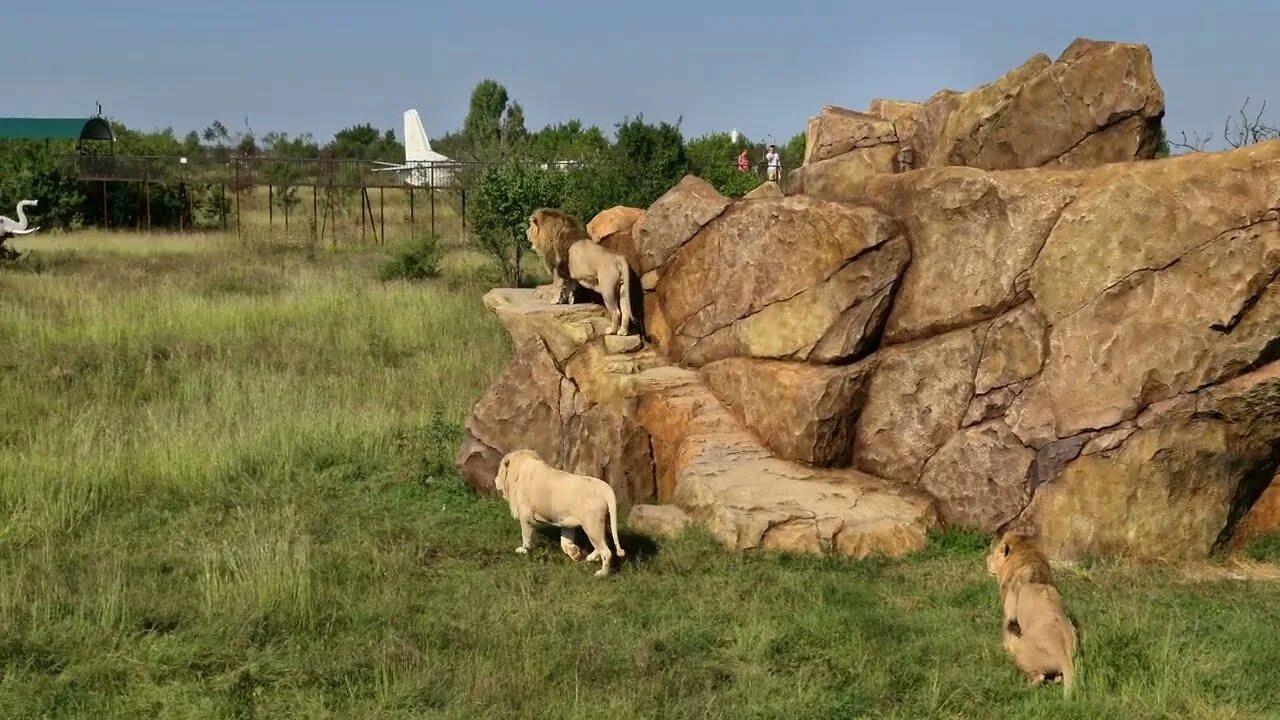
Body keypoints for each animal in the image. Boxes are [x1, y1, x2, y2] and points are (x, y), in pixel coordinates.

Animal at [491, 445, 627, 573]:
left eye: (499, 471)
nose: (495, 480)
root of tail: (607, 489)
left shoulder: (526, 514)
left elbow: (526, 535)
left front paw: (524, 550)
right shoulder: (567, 520)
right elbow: (565, 541)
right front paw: (575, 553)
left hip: (592, 524)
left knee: (606, 551)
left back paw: (601, 573)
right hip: (601, 523)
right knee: (604, 543)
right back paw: (591, 558)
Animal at [524, 204, 634, 333]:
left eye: (530, 227)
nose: (526, 233)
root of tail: (619, 258)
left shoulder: (557, 269)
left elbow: (558, 287)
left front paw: (555, 301)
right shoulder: (569, 274)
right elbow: (569, 288)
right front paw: (569, 301)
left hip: (607, 289)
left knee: (616, 312)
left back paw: (611, 331)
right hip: (623, 288)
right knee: (625, 311)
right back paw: (623, 332)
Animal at [983, 530, 1075, 691]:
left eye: (994, 554)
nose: (986, 559)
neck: (1029, 558)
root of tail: (1065, 657)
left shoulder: (1010, 614)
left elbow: (1006, 634)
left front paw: (1004, 650)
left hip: (1022, 650)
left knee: (1039, 677)